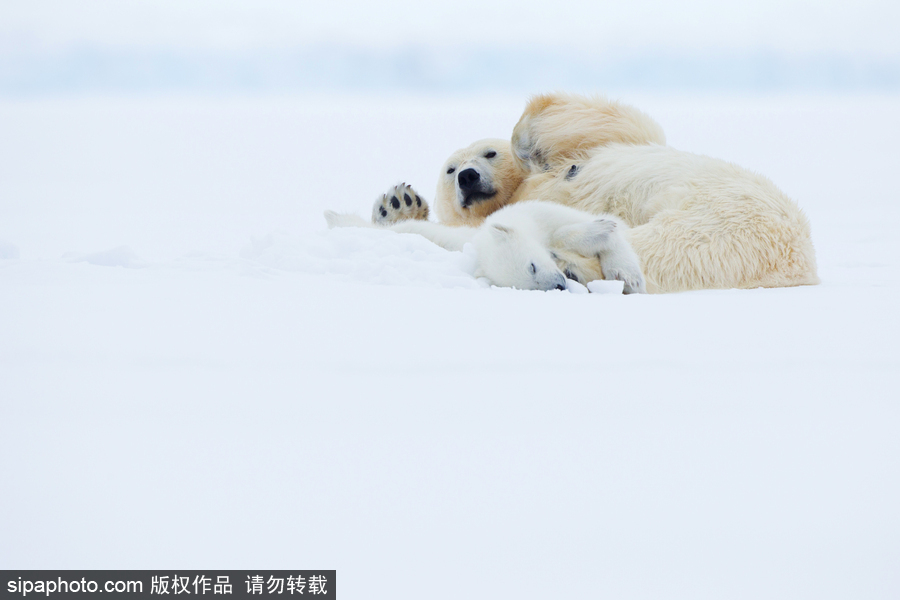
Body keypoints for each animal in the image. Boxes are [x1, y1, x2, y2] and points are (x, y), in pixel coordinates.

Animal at [324, 200, 648, 294]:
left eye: (532, 266)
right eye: (527, 283)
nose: (558, 284)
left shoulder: (544, 212)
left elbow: (612, 232)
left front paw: (627, 274)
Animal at [370, 92, 820, 296]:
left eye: (488, 153)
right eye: (449, 169)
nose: (466, 176)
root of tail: (800, 264)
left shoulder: (620, 140)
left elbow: (610, 120)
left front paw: (527, 139)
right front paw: (397, 204)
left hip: (723, 219)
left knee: (661, 246)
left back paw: (571, 263)